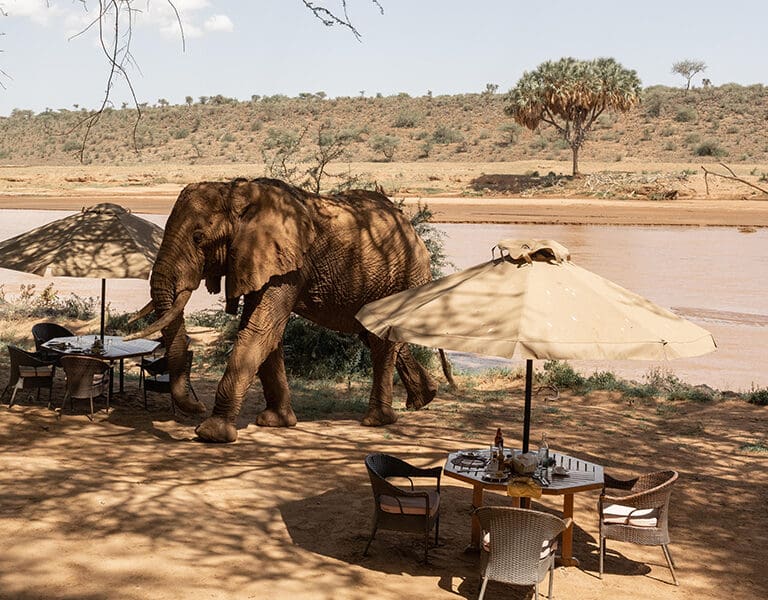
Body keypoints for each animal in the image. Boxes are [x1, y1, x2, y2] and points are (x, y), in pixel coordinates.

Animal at [129, 178, 439, 443]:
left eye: (198, 237)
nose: (197, 406)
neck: (237, 191)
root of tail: (409, 225)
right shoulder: (259, 260)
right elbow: (267, 333)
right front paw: (275, 422)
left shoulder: (287, 265)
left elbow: (260, 328)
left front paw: (211, 433)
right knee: (374, 337)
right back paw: (424, 399)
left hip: (401, 277)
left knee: (380, 341)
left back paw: (377, 420)